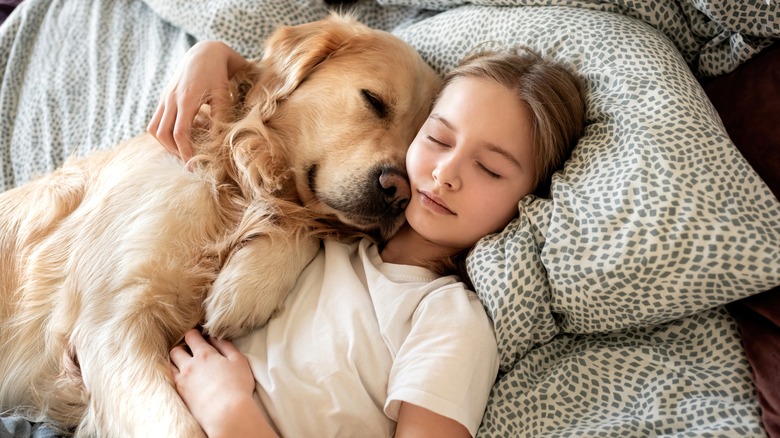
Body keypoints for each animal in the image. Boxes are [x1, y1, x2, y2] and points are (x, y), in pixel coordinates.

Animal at [0, 13, 438, 438]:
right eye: (374, 101)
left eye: (418, 142)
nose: (399, 194)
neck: (233, 178)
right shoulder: (109, 323)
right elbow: (180, 428)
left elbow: (302, 231)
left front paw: (243, 291)